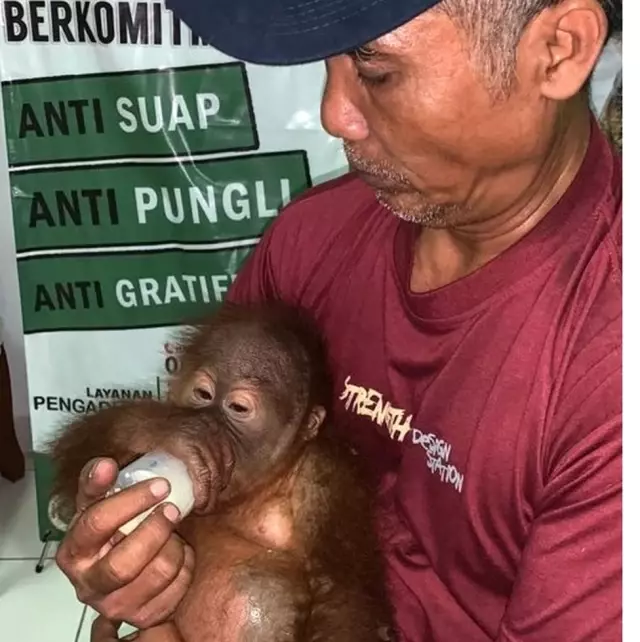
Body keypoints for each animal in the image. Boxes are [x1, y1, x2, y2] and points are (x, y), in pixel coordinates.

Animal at [46, 301, 397, 642]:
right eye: (204, 394)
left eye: (239, 408)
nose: (211, 423)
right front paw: (179, 433)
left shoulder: (328, 478)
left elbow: (341, 596)